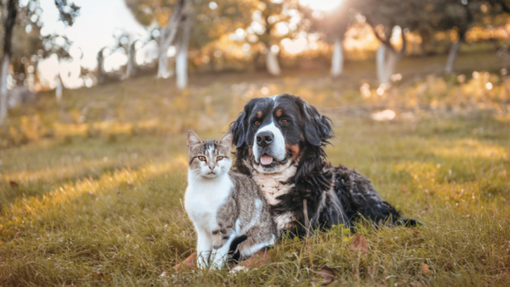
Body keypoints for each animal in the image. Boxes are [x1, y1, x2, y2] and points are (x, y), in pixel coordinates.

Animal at [184, 130, 276, 270]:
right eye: (201, 158)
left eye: (219, 158)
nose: (211, 166)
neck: (205, 188)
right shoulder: (201, 228)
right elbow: (202, 251)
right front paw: (201, 270)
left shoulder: (225, 229)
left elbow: (217, 254)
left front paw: (213, 272)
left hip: (250, 241)